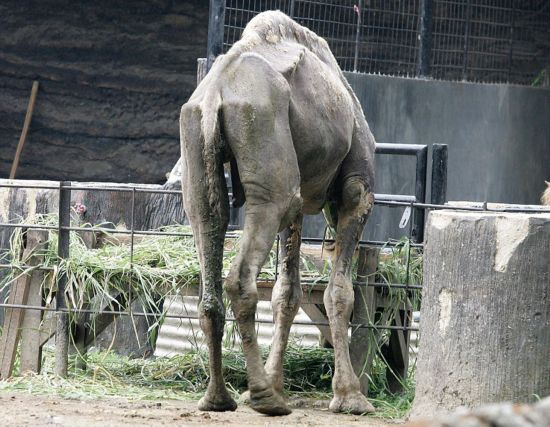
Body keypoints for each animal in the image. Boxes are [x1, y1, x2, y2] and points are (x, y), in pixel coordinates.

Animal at [179, 10, 378, 418]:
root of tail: (215, 95)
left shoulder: (300, 206)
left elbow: (287, 293)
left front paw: (278, 382)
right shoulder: (357, 191)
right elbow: (339, 292)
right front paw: (350, 398)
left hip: (198, 150)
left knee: (208, 228)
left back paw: (219, 398)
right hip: (264, 141)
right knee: (240, 278)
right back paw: (264, 399)